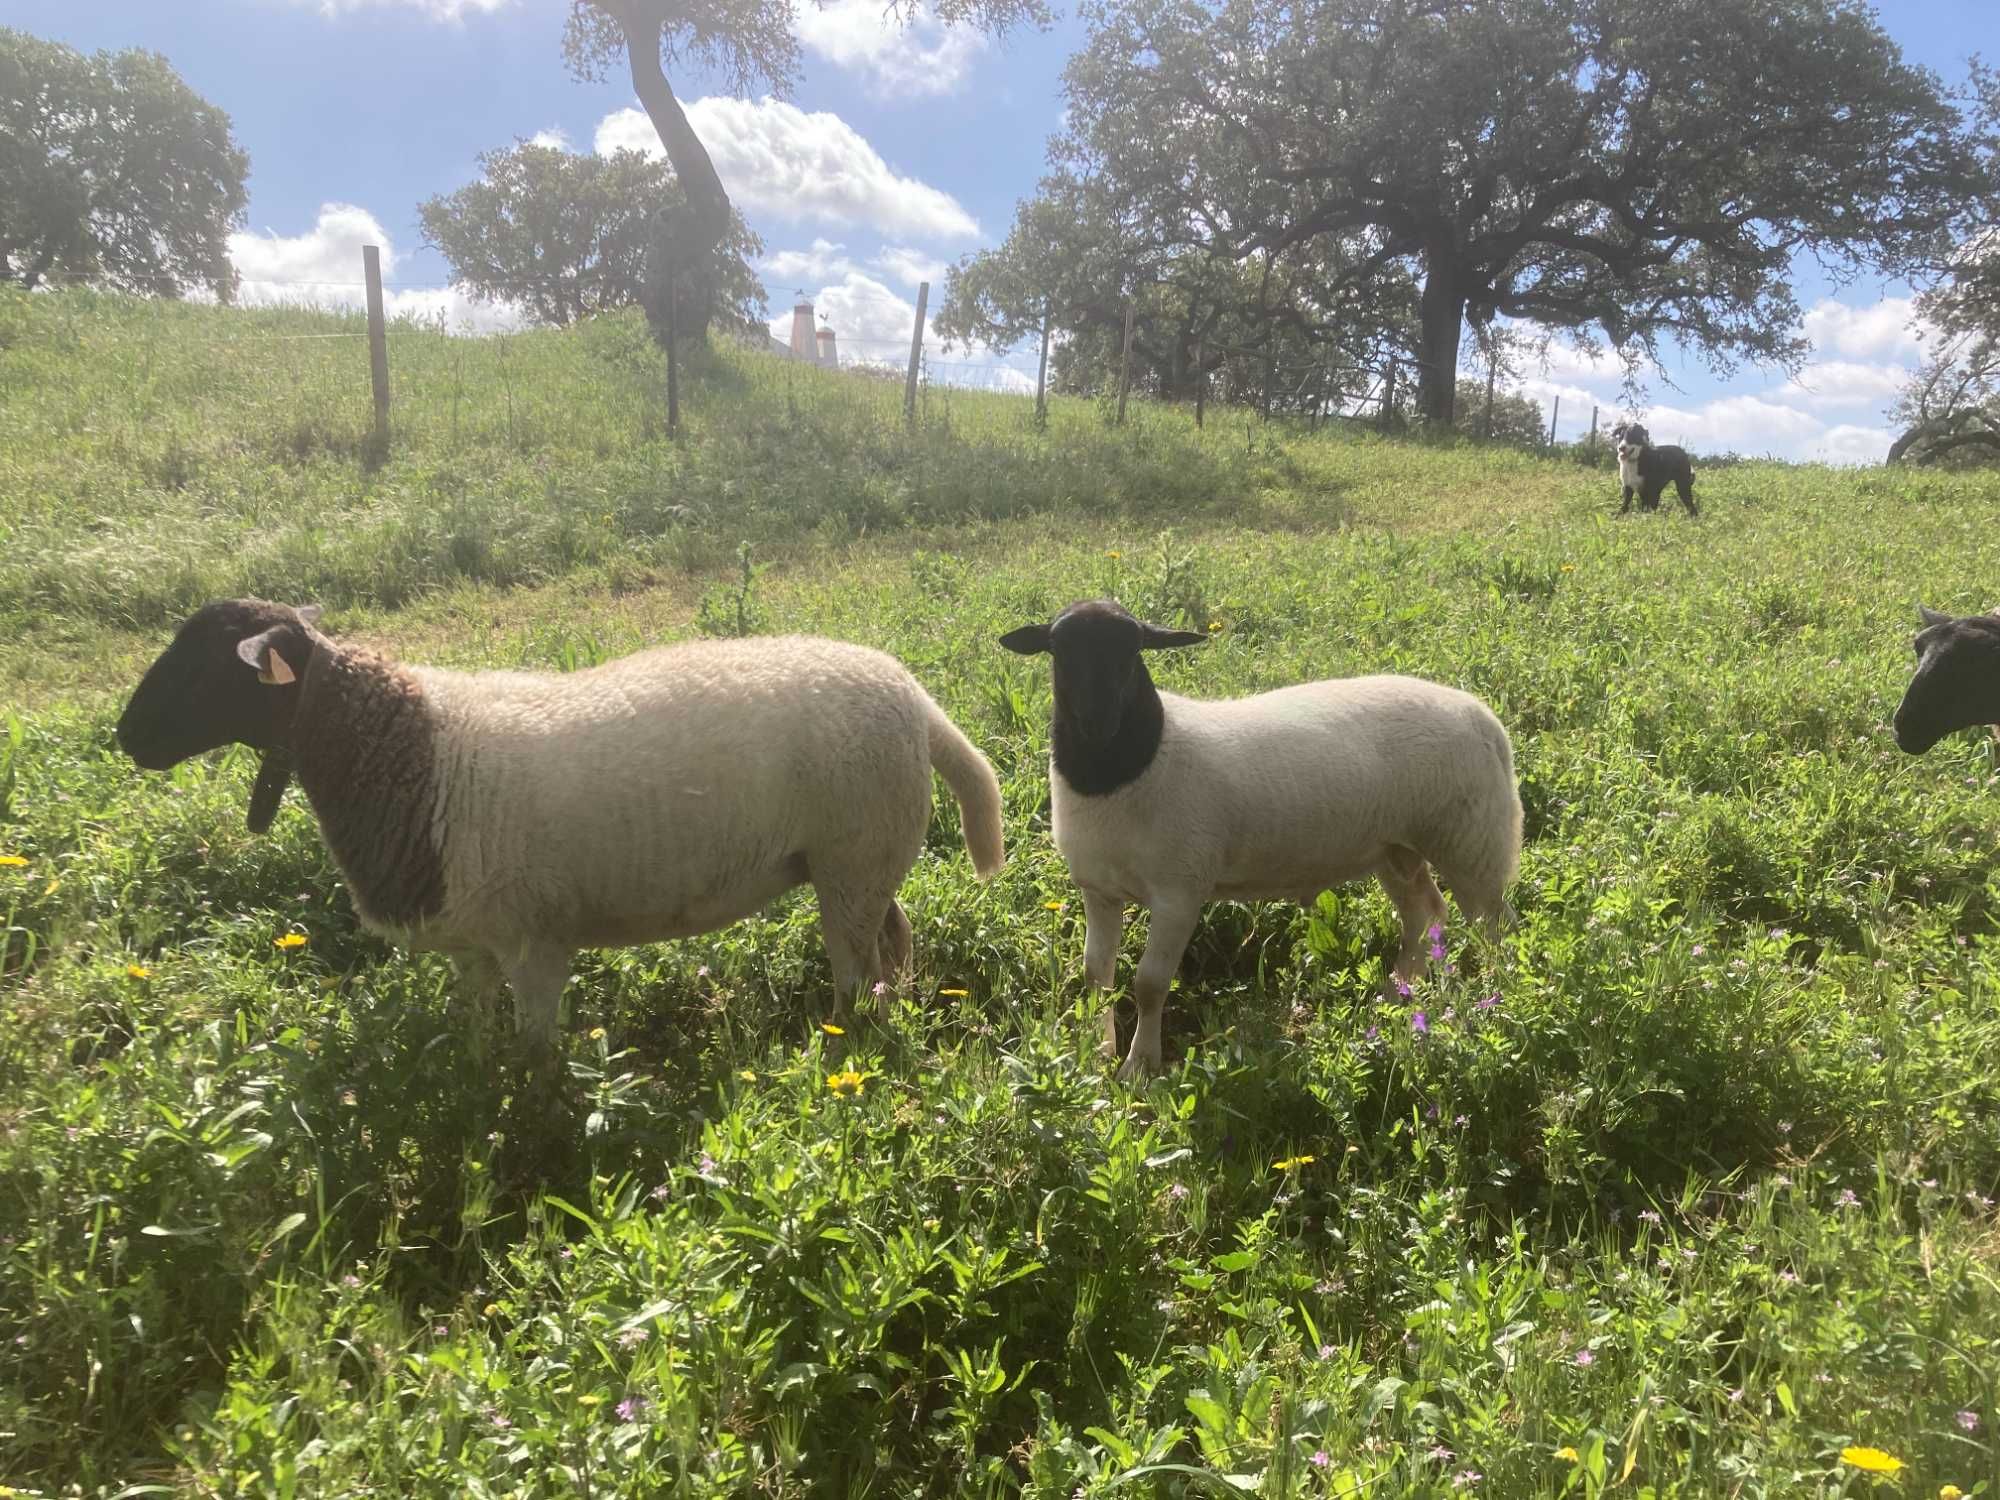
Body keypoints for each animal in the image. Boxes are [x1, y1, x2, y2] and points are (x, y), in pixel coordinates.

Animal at [117, 600, 1008, 1056]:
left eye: (209, 663)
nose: (126, 738)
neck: (409, 754)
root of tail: (913, 698)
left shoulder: (533, 942)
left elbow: (535, 1063)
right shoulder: (474, 946)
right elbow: (476, 1043)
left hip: (851, 859)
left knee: (859, 975)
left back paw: (848, 1042)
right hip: (859, 861)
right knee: (894, 944)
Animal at [992, 600, 1520, 1080]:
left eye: (1133, 650)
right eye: (1059, 649)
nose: (1097, 723)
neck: (1125, 769)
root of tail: (1484, 718)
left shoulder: (1179, 892)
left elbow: (1149, 983)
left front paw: (1139, 1068)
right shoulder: (1099, 889)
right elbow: (1095, 975)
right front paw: (1097, 1052)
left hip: (1471, 840)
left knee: (1495, 927)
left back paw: (1496, 1000)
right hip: (1395, 847)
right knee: (1424, 915)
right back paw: (1396, 999)